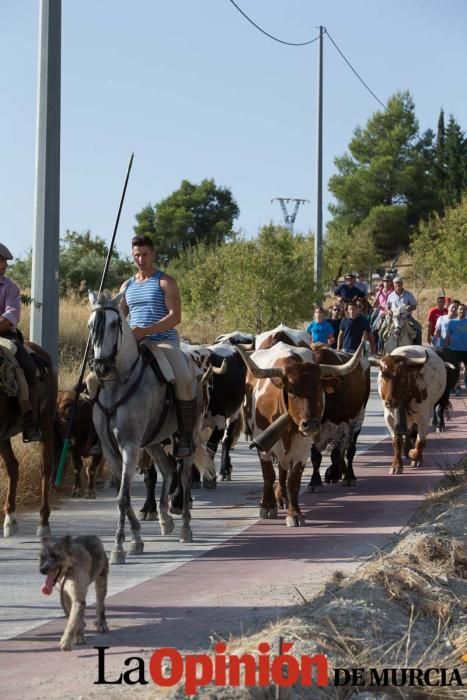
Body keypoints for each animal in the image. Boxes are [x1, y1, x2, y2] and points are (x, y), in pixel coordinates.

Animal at [88, 290, 216, 564]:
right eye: (91, 325)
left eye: (114, 324)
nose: (101, 367)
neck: (117, 385)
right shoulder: (111, 450)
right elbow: (122, 495)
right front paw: (136, 540)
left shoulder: (130, 445)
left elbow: (123, 497)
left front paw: (118, 547)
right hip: (155, 440)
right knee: (167, 470)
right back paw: (165, 519)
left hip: (186, 436)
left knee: (184, 477)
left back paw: (185, 528)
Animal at [239, 342, 364, 528]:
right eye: (290, 390)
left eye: (319, 389)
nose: (310, 424)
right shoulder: (263, 447)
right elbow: (268, 475)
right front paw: (267, 506)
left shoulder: (302, 450)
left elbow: (294, 482)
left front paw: (295, 514)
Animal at [372, 346, 446, 474]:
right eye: (383, 375)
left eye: (402, 376)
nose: (390, 402)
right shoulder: (389, 417)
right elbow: (397, 441)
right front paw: (396, 465)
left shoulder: (424, 416)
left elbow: (421, 441)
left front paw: (414, 456)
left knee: (414, 433)